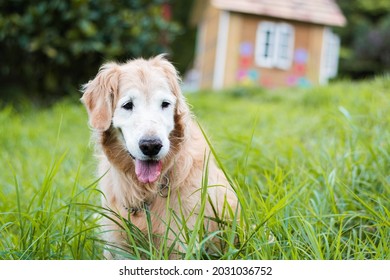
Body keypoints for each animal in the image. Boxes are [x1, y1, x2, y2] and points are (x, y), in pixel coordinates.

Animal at [81, 54, 238, 258]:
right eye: (128, 105)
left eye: (165, 104)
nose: (151, 146)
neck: (145, 191)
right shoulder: (117, 243)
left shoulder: (180, 241)